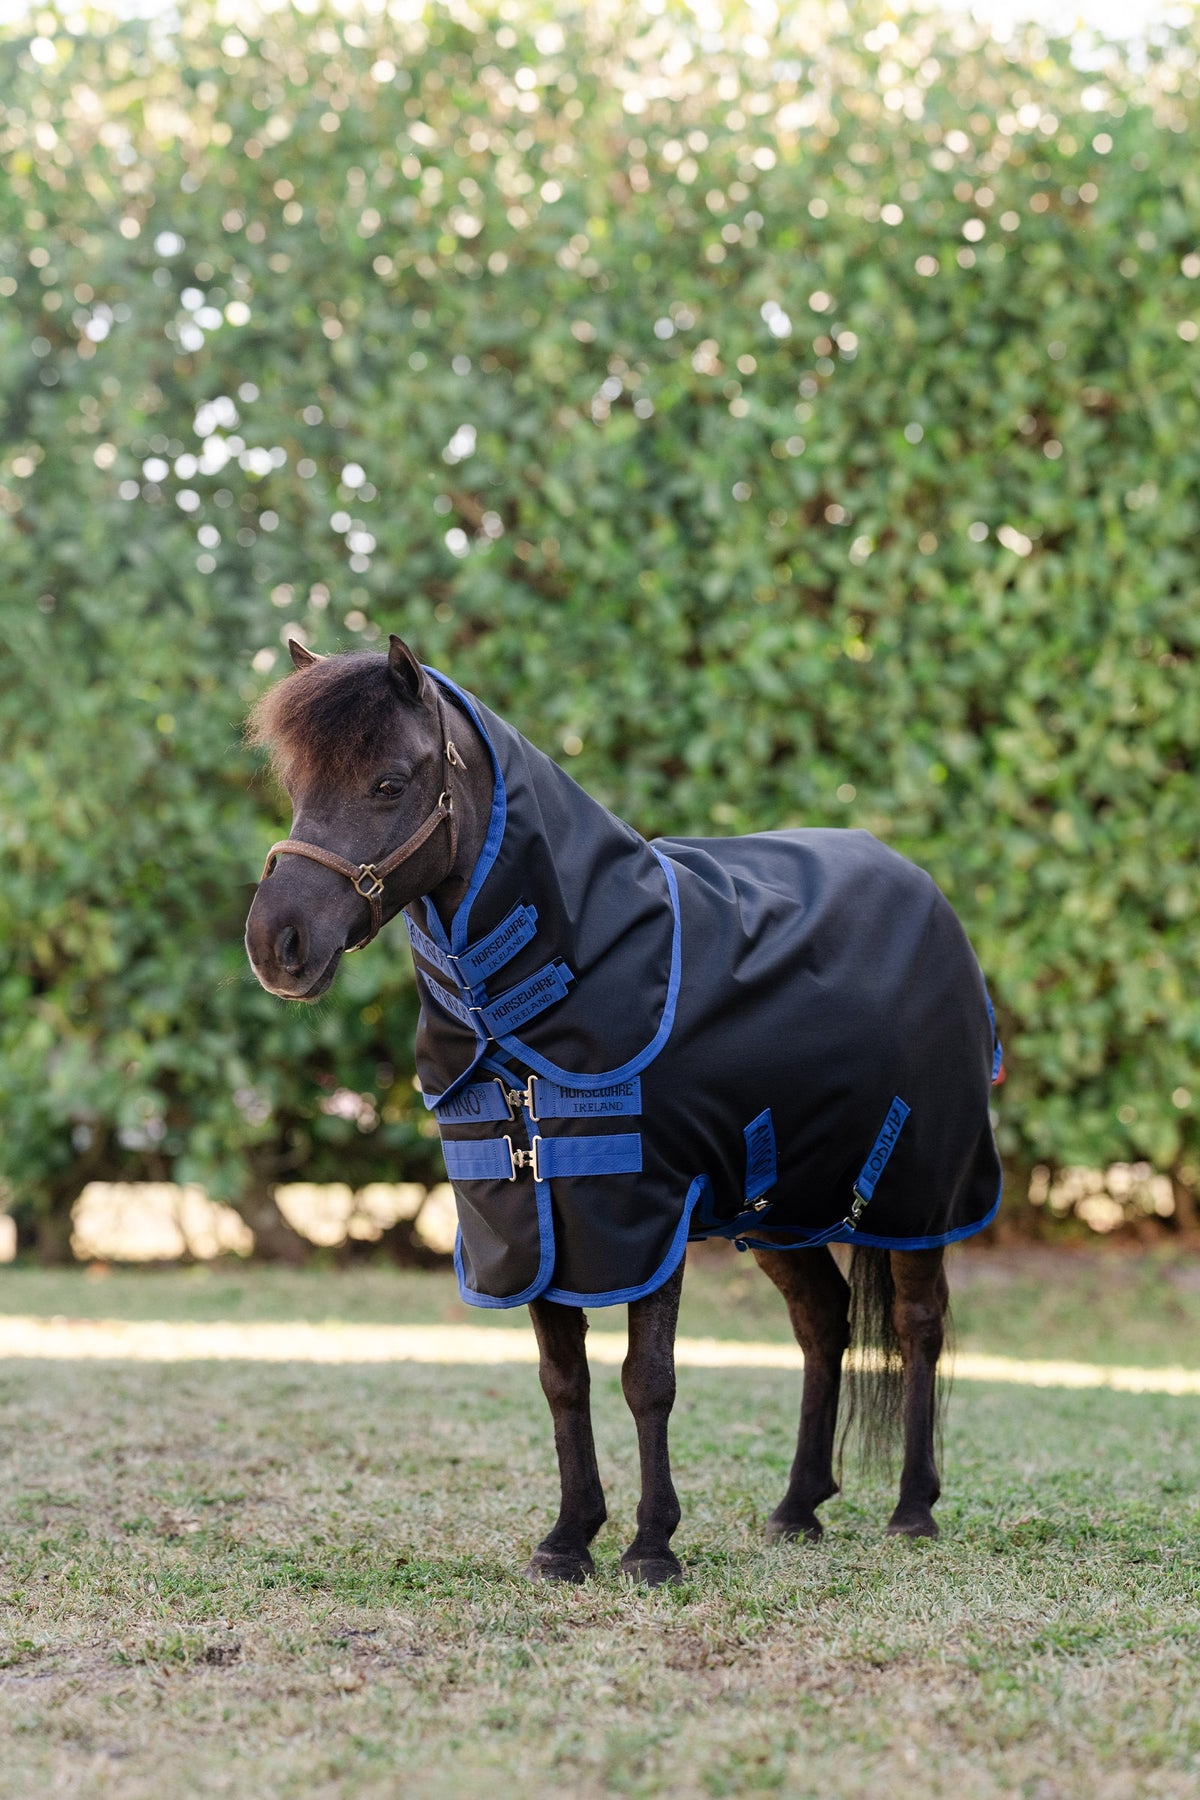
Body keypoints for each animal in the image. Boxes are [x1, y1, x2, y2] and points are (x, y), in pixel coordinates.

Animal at [244, 635, 1002, 1586]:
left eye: (387, 782)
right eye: (298, 786)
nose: (276, 944)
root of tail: (925, 891)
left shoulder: (649, 1211)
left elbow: (649, 1378)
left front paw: (651, 1547)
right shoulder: (527, 1220)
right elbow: (562, 1379)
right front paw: (569, 1539)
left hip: (915, 1194)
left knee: (917, 1324)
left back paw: (913, 1509)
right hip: (776, 1211)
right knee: (822, 1322)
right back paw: (797, 1508)